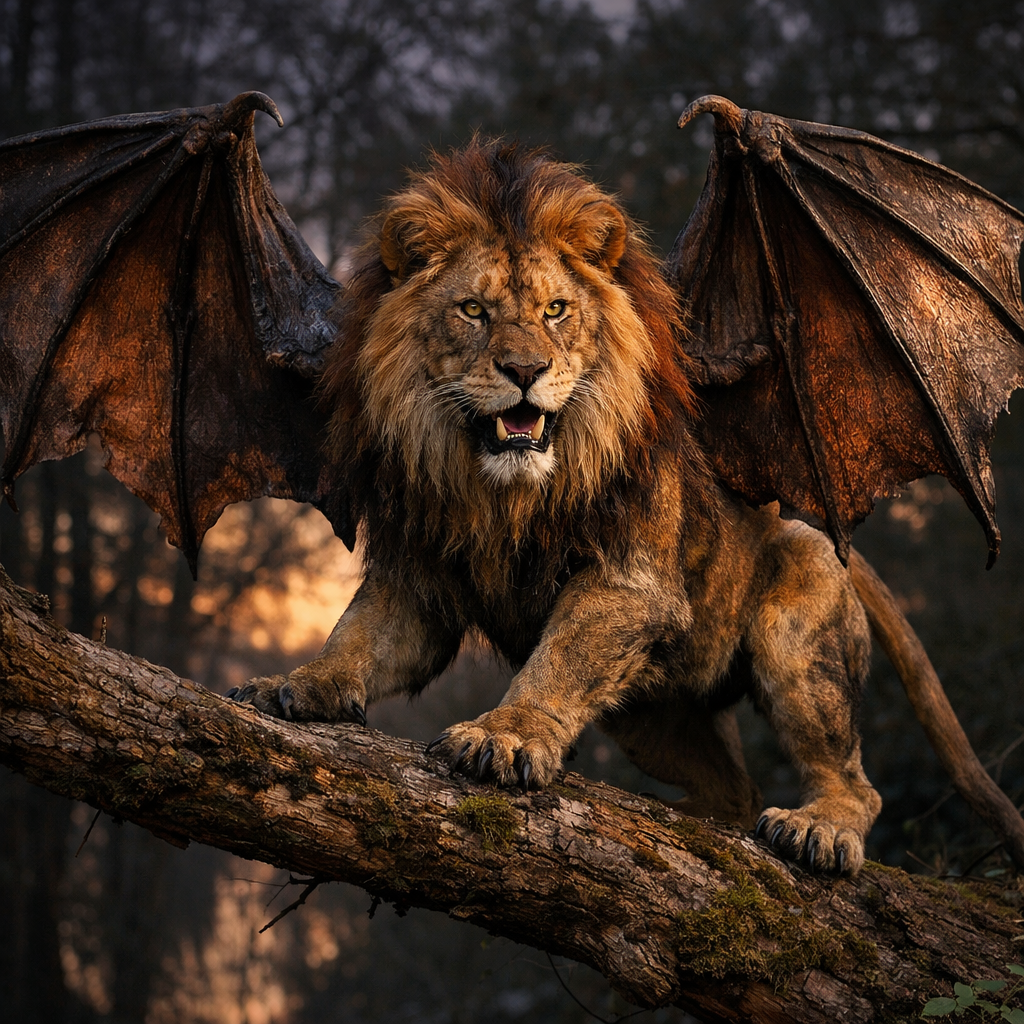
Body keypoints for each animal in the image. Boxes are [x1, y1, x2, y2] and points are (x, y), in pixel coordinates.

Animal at [234, 139, 883, 875]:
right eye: (473, 311)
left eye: (554, 310)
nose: (524, 371)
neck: (502, 493)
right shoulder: (418, 580)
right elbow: (357, 638)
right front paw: (299, 682)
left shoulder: (627, 582)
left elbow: (557, 664)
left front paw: (505, 737)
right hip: (653, 718)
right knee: (736, 793)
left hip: (798, 632)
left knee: (852, 780)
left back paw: (818, 829)